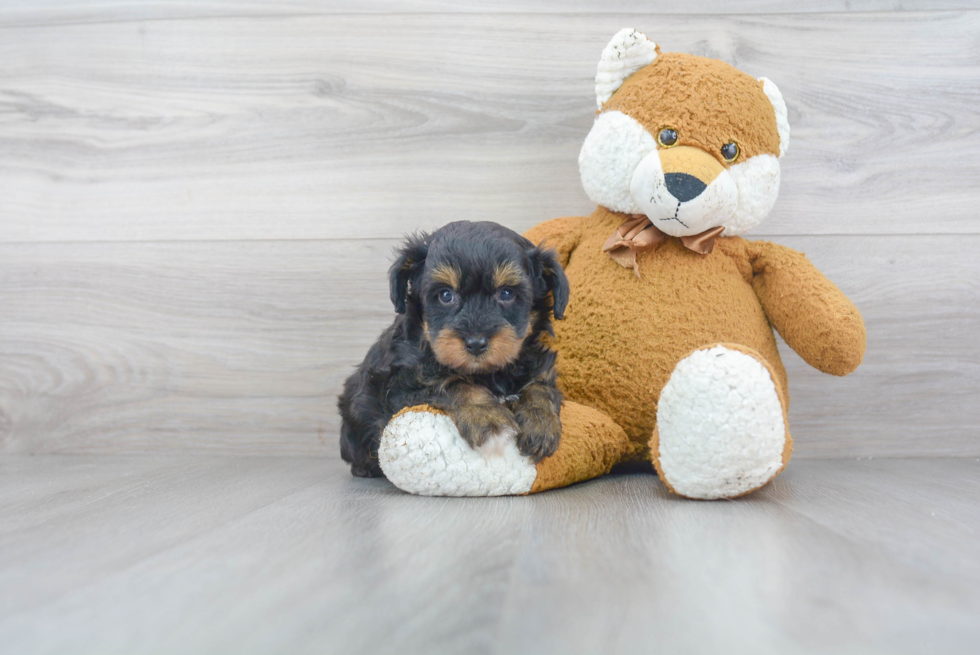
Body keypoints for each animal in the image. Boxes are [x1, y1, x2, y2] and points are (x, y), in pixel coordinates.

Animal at [338, 219, 572, 476]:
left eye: (506, 293)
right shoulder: (400, 386)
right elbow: (452, 382)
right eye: (445, 295)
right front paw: (488, 419)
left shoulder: (538, 366)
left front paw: (540, 422)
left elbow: (541, 386)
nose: (476, 343)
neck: (490, 373)